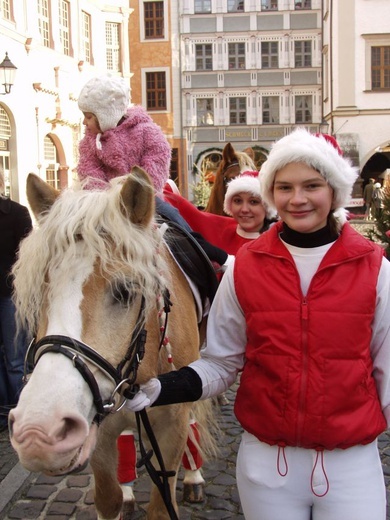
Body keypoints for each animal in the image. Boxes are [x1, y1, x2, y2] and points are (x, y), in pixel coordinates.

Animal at [9, 169, 216, 516]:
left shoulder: (172, 428)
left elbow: (162, 506)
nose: (39, 432)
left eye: (126, 291)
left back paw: (194, 477)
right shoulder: (99, 431)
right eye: (38, 294)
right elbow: (108, 498)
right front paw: (124, 494)